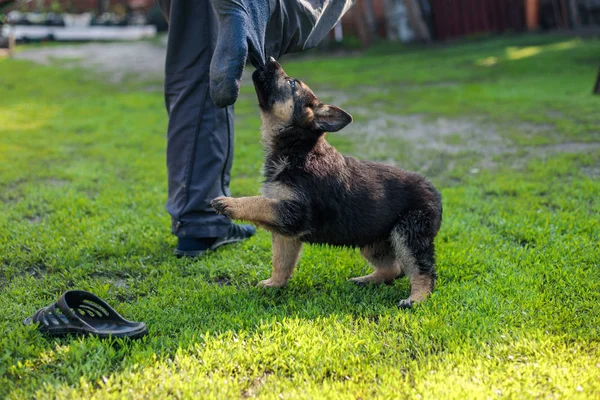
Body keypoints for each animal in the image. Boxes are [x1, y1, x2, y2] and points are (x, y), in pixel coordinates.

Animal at [211, 57, 440, 308]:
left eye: (292, 83)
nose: (269, 59)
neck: (297, 150)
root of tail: (434, 190)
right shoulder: (287, 228)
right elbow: (281, 260)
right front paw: (274, 284)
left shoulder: (293, 212)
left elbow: (259, 203)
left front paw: (231, 203)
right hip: (371, 240)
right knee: (394, 268)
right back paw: (367, 280)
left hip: (409, 236)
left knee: (423, 270)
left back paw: (416, 298)